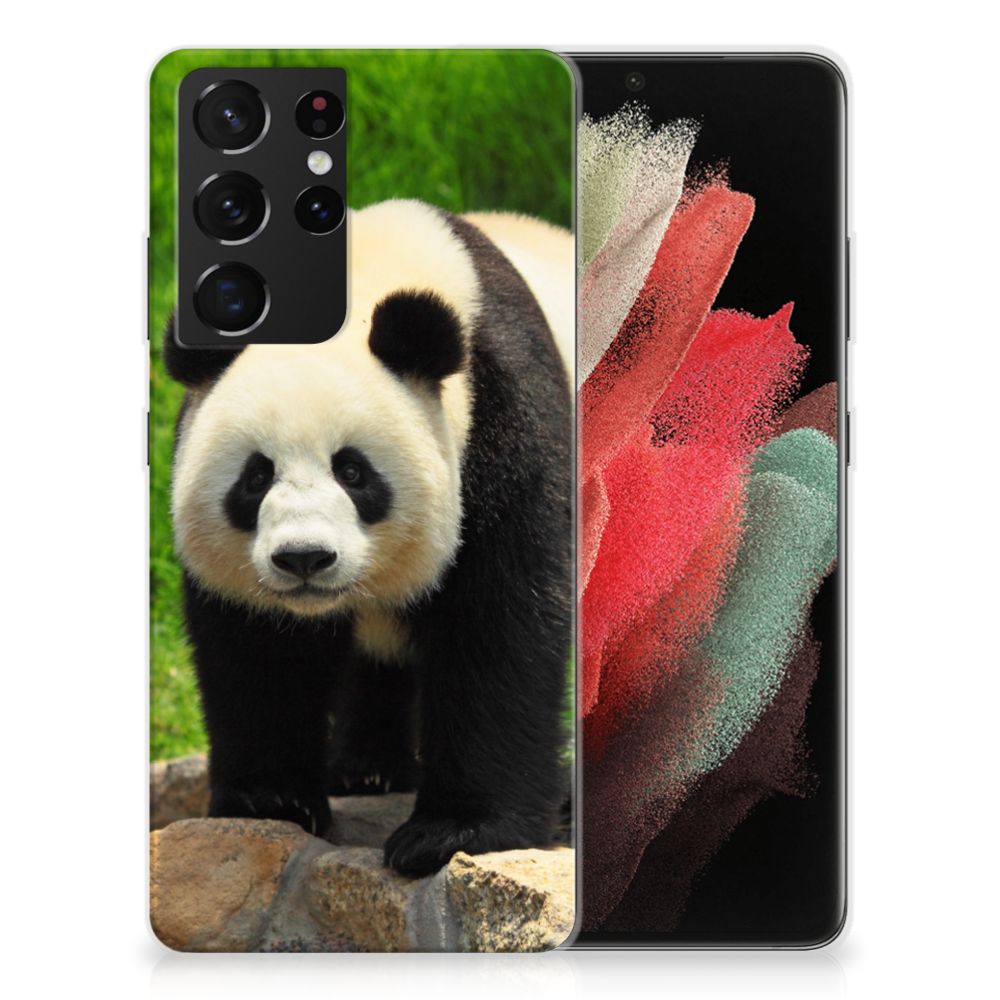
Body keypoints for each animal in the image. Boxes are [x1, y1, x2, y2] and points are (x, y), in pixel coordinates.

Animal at [165, 199, 574, 876]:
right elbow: (259, 648)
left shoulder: (505, 420)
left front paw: (452, 832)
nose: (304, 558)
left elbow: (499, 624)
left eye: (353, 472)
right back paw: (366, 768)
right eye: (255, 476)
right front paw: (270, 798)